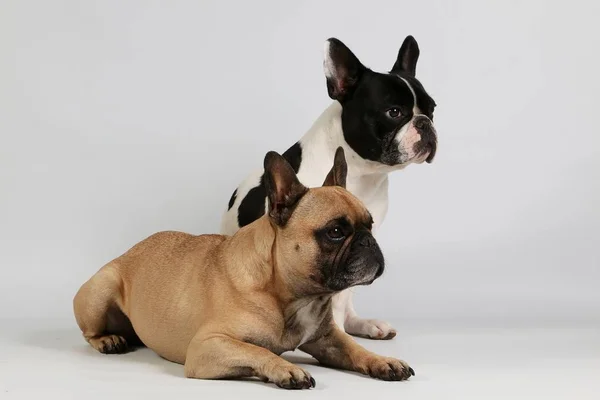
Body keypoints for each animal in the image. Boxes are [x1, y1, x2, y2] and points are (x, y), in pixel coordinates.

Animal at [72, 147, 414, 388]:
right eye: (336, 232)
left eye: (370, 224)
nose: (368, 241)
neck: (287, 294)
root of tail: (128, 252)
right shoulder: (208, 346)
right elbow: (258, 351)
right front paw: (286, 369)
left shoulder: (328, 338)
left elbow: (355, 349)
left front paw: (383, 361)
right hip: (100, 290)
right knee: (90, 331)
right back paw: (108, 340)